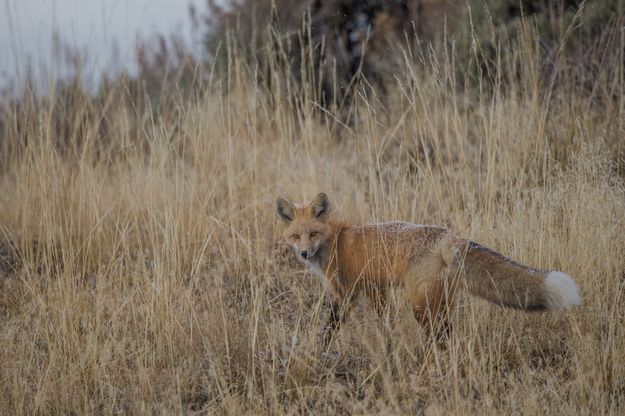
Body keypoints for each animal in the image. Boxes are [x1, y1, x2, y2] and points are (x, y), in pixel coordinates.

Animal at [276, 192, 580, 342]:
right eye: (296, 236)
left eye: (313, 234)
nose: (304, 253)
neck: (335, 241)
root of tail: (448, 235)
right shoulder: (375, 289)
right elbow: (384, 322)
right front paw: (388, 346)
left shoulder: (346, 293)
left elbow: (330, 327)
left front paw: (321, 348)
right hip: (440, 301)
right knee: (448, 332)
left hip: (421, 306)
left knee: (438, 335)